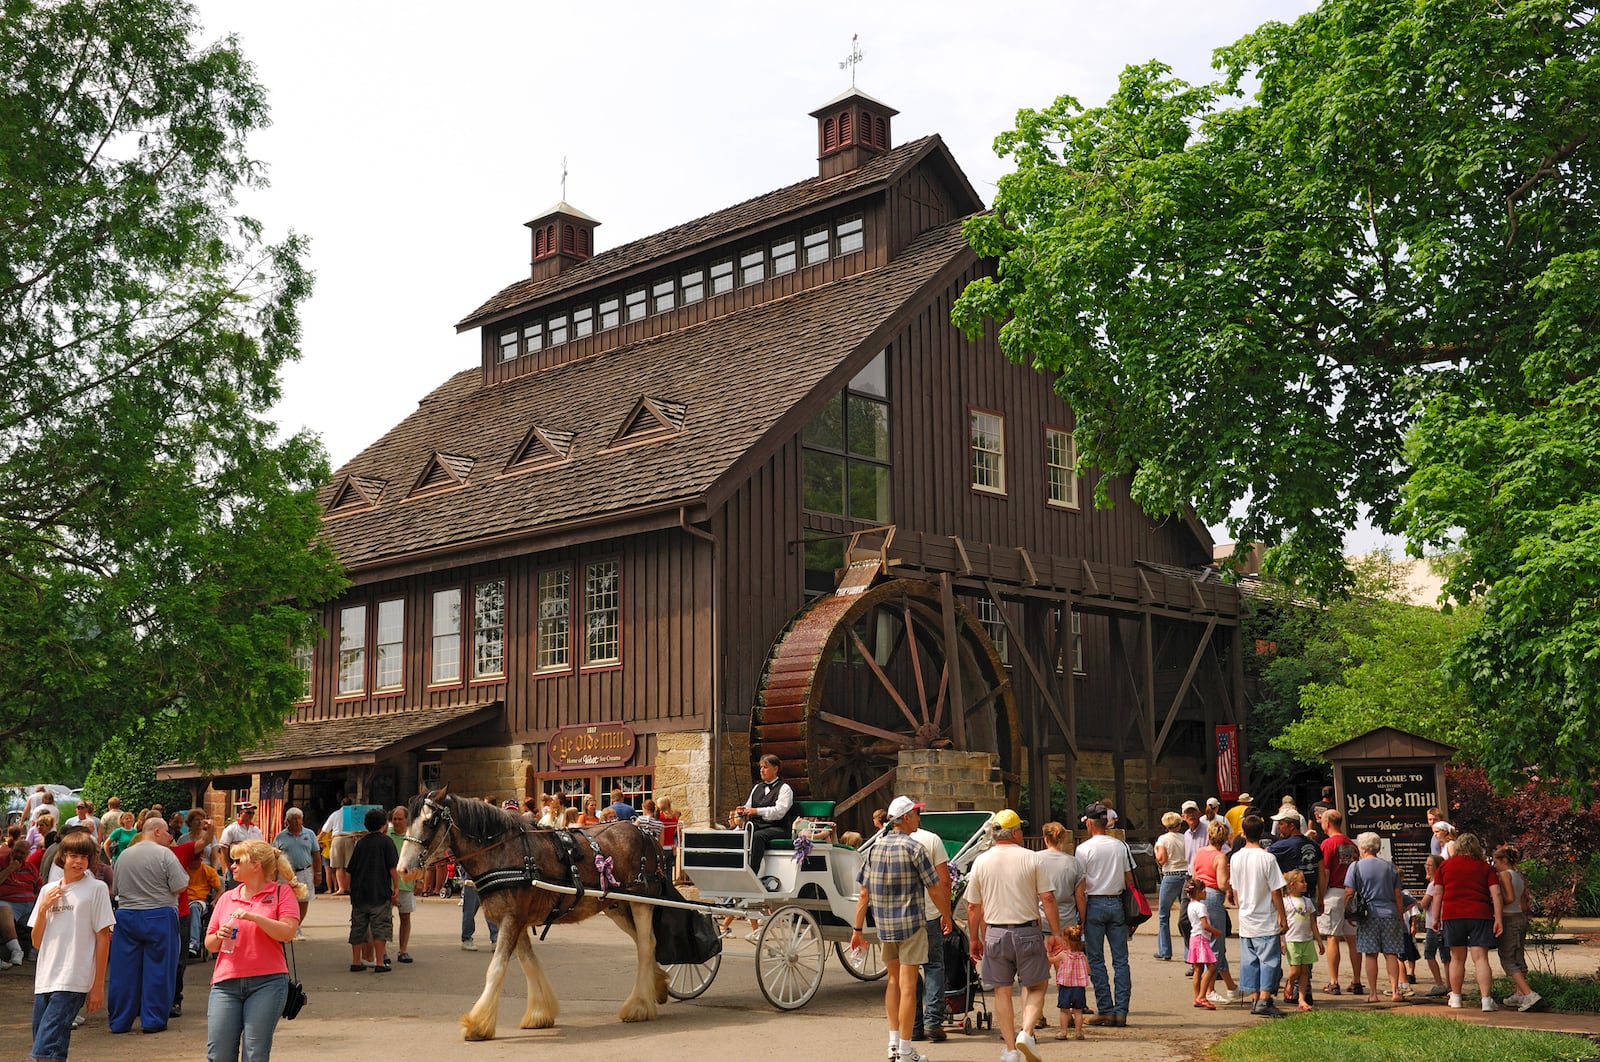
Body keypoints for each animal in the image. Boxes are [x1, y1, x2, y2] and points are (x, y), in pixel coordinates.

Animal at [403, 786, 678, 1036]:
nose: (403, 869)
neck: (503, 852)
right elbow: (529, 962)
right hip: (617, 906)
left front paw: (478, 1023)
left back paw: (639, 1006)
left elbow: (496, 968)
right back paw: (657, 986)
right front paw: (539, 1013)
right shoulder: (516, 920)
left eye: (428, 822)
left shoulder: (512, 919)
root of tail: (644, 833)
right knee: (644, 942)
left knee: (646, 945)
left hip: (642, 901)